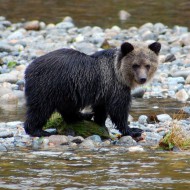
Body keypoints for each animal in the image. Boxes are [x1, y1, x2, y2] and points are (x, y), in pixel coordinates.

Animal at [23, 41, 160, 137]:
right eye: (135, 65)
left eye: (147, 65)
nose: (142, 78)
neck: (119, 74)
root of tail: (28, 68)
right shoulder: (115, 86)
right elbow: (118, 109)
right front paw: (133, 130)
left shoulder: (104, 90)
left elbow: (101, 109)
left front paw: (100, 123)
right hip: (49, 86)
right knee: (40, 108)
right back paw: (38, 131)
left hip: (66, 91)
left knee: (66, 108)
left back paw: (84, 115)